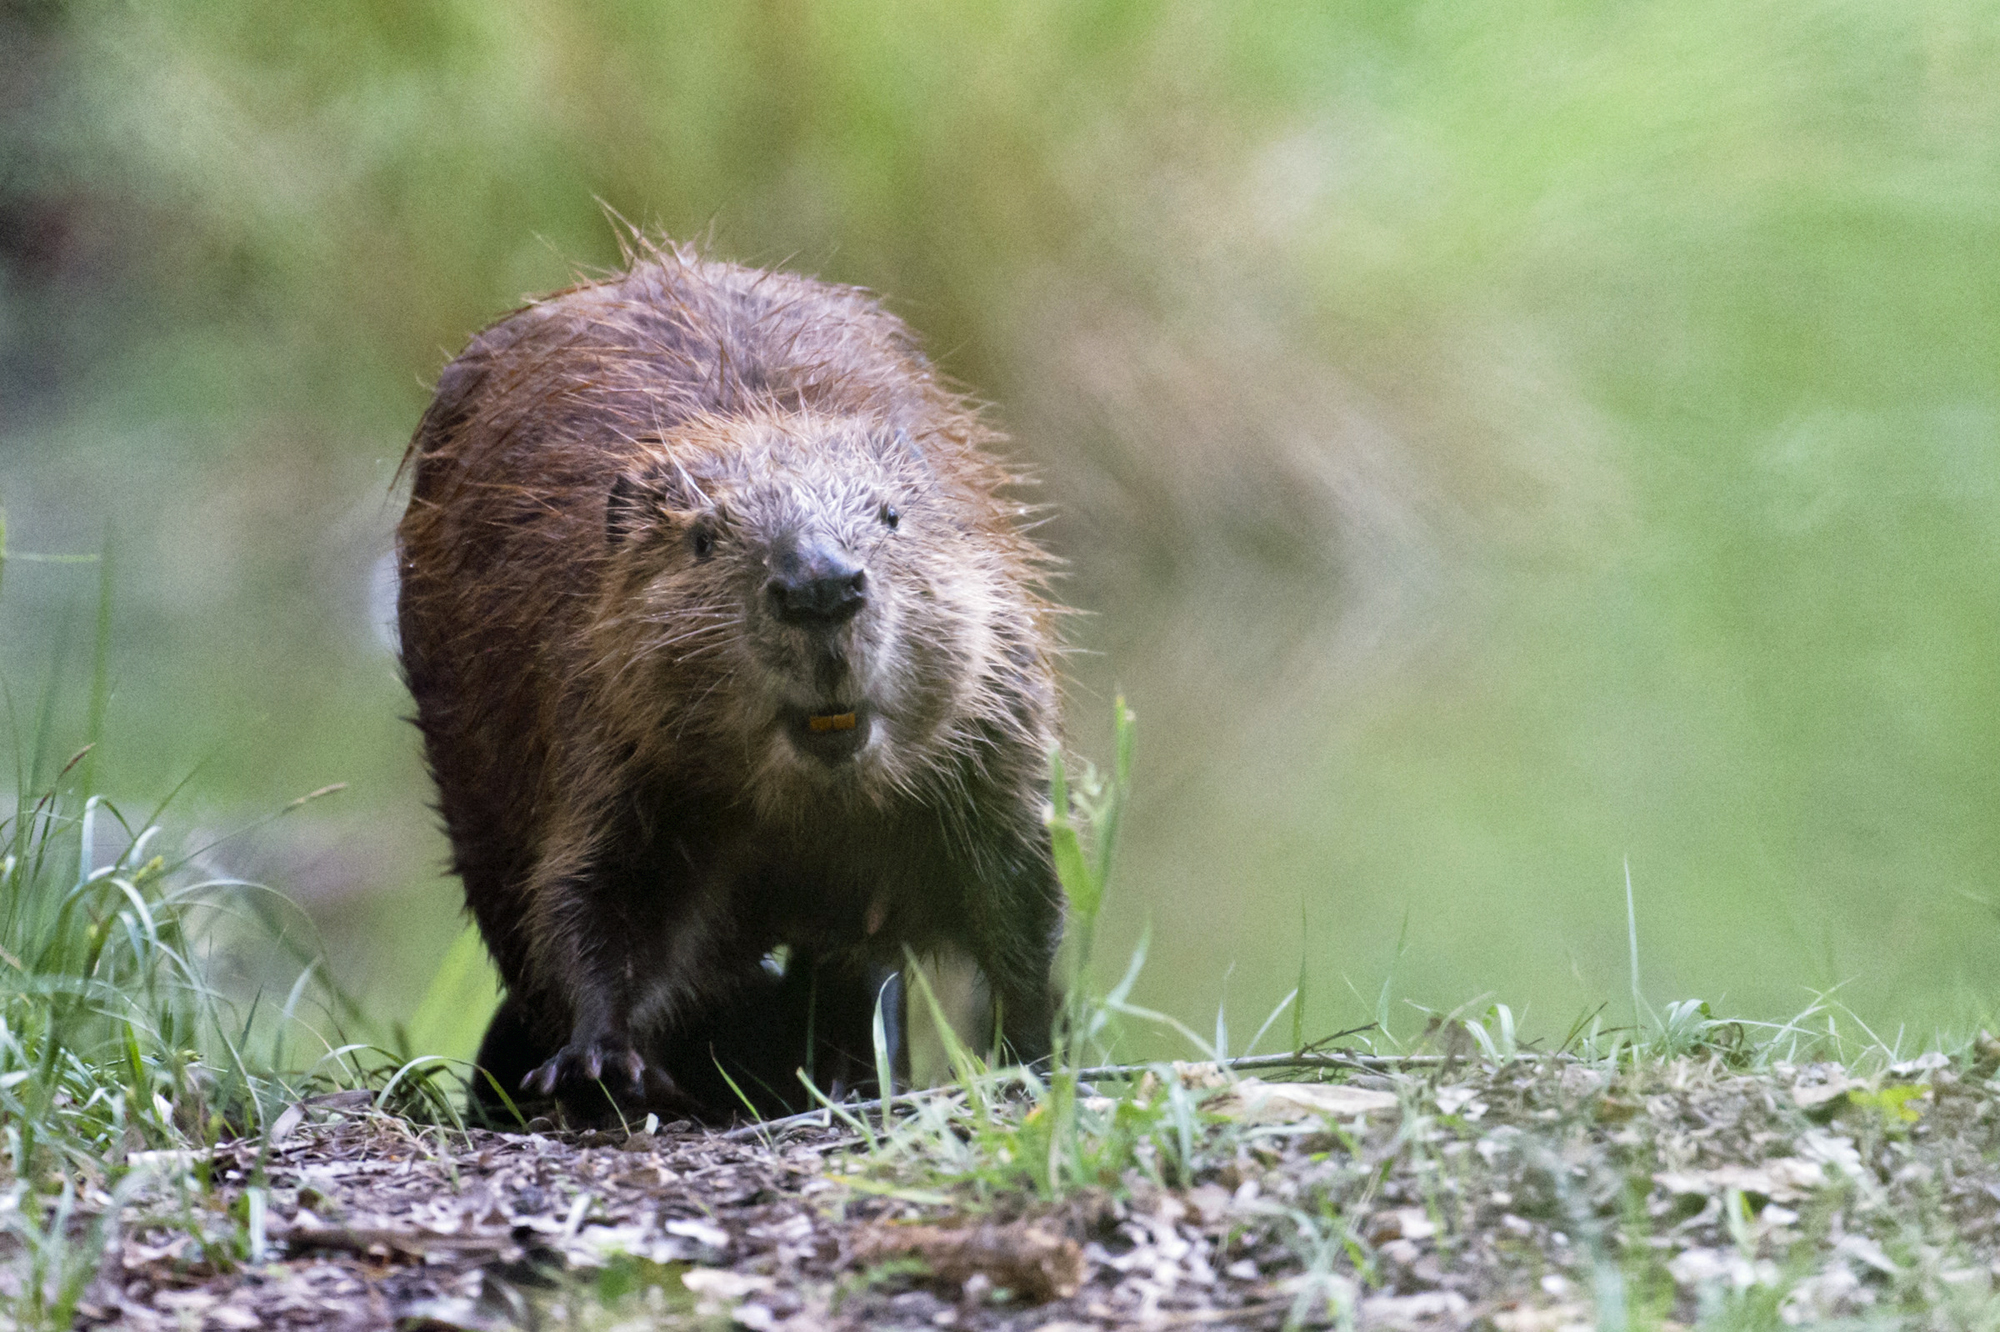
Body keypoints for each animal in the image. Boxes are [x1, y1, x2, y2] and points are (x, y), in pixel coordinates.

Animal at [396, 239, 1072, 1120]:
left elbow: (1018, 895)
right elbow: (596, 896)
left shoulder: (992, 727)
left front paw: (1032, 1056)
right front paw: (597, 1060)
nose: (820, 586)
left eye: (892, 517)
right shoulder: (607, 730)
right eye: (704, 539)